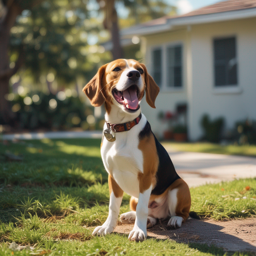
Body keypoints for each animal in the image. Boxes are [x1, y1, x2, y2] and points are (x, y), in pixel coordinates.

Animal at [83, 59, 191, 241]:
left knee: (181, 214)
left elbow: (142, 208)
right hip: (134, 197)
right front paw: (107, 227)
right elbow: (113, 206)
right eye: (116, 69)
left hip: (179, 187)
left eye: (140, 70)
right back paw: (132, 216)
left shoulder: (146, 176)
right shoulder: (112, 176)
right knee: (151, 216)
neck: (122, 127)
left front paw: (139, 231)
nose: (134, 74)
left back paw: (174, 220)